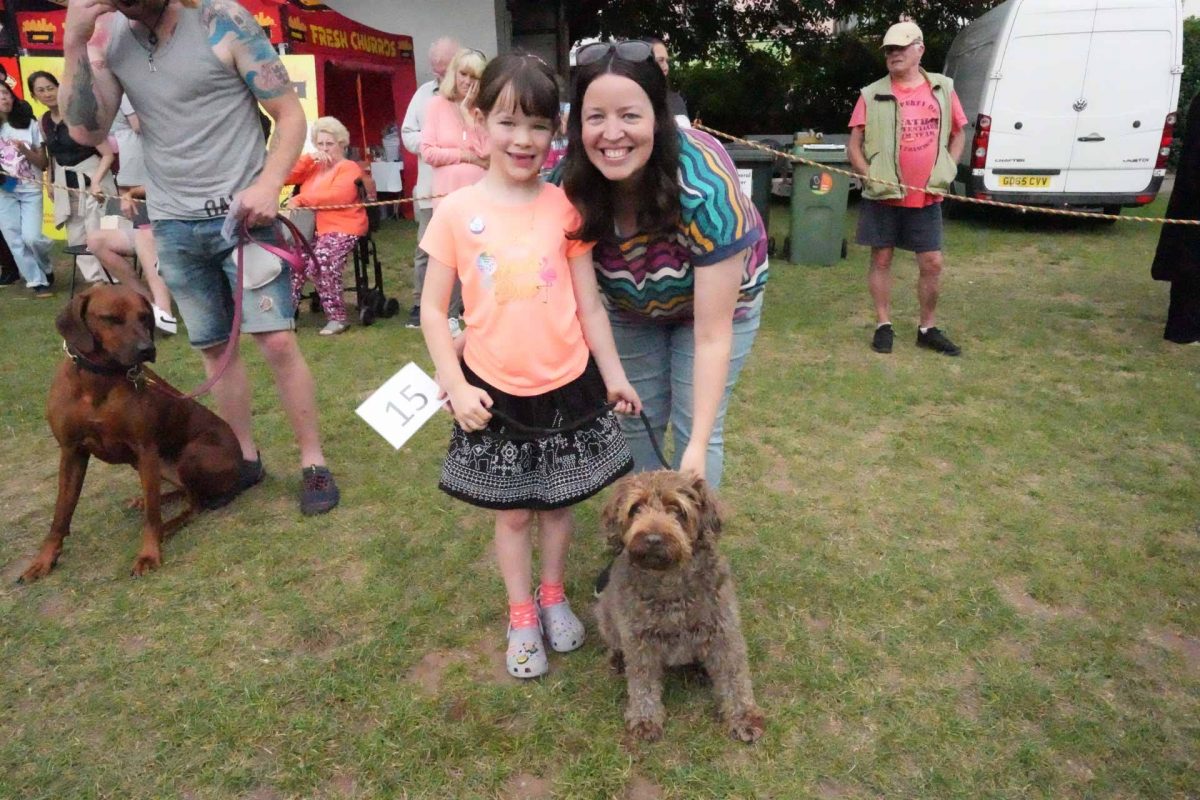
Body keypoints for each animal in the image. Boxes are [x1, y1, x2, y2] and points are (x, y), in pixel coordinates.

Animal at [21, 285, 245, 582]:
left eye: (144, 317)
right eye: (110, 318)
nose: (147, 349)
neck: (98, 380)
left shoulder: (145, 448)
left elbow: (153, 517)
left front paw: (149, 554)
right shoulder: (71, 451)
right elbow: (60, 514)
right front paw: (43, 560)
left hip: (191, 456)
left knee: (193, 504)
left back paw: (167, 527)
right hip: (153, 465)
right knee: (176, 493)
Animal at [595, 470, 765, 743]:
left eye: (677, 509)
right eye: (636, 508)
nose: (653, 539)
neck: (669, 581)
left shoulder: (724, 632)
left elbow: (735, 676)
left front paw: (744, 716)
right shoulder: (639, 639)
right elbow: (642, 682)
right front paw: (645, 718)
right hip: (605, 614)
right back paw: (618, 658)